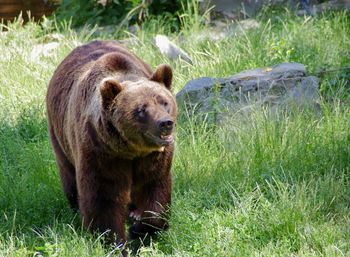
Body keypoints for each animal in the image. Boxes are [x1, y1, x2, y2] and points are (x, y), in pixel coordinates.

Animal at [46, 40, 176, 244]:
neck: (132, 150)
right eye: (141, 110)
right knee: (68, 173)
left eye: (164, 102)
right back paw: (75, 207)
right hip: (59, 135)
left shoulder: (155, 156)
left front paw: (140, 228)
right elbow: (103, 196)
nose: (165, 123)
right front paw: (112, 239)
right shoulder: (100, 148)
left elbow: (154, 188)